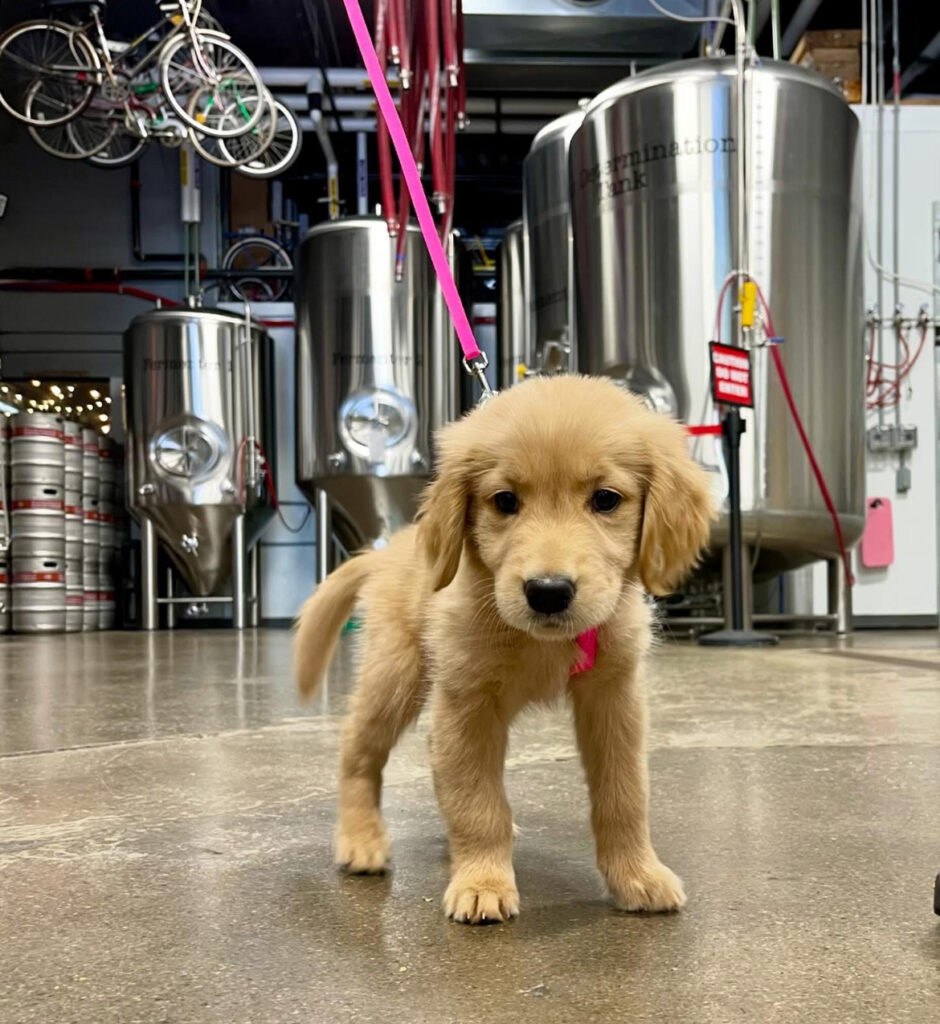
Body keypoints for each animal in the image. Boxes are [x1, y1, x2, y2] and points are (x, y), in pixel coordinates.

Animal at [294, 374, 714, 924]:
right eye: (505, 501)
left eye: (606, 499)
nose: (548, 591)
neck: (540, 642)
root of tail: (392, 549)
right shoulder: (469, 699)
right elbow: (479, 802)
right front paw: (483, 882)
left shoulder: (613, 696)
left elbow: (624, 794)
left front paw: (638, 875)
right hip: (397, 675)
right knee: (358, 749)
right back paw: (361, 839)